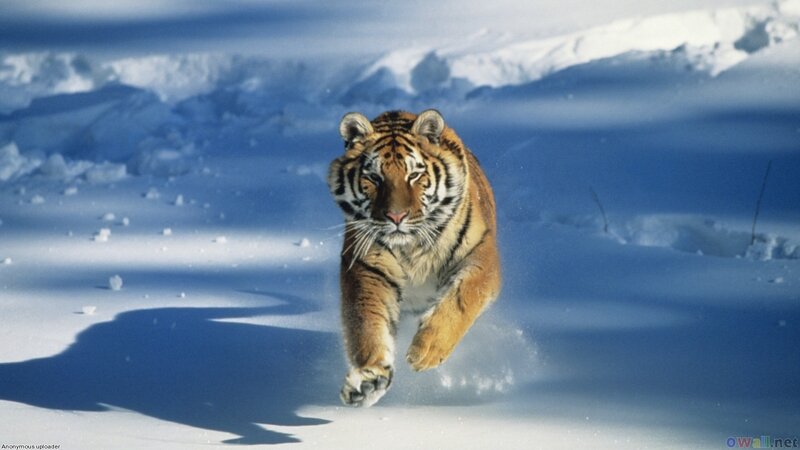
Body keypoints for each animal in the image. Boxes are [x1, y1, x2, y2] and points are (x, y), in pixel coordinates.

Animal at [328, 109, 501, 407]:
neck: (412, 247)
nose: (396, 217)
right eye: (374, 177)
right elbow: (367, 324)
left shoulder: (481, 257)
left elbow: (463, 299)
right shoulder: (367, 269)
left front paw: (427, 350)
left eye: (414, 175)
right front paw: (368, 381)